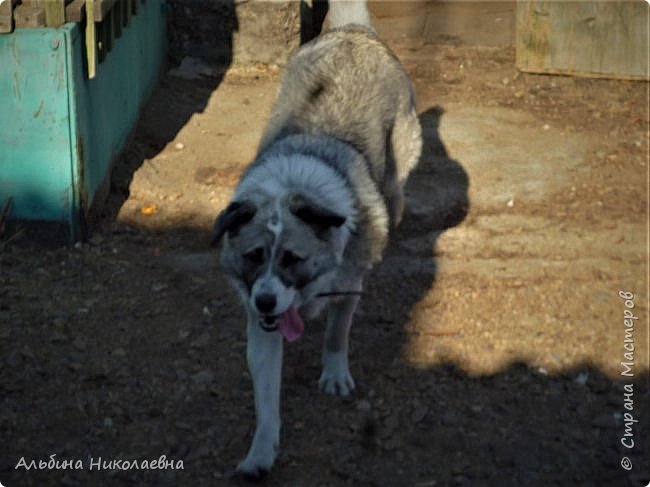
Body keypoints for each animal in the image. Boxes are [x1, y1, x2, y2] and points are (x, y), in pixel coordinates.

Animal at [209, 0, 420, 476]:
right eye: (254, 255)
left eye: (292, 257)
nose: (266, 301)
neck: (294, 188)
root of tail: (352, 31)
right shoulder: (262, 329)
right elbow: (266, 402)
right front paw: (260, 453)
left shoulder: (349, 288)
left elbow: (336, 336)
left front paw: (335, 374)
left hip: (402, 159)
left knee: (396, 190)